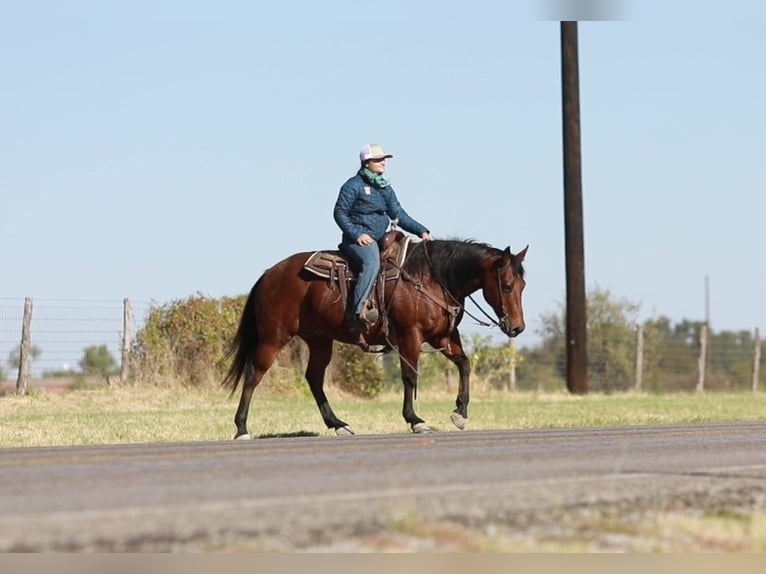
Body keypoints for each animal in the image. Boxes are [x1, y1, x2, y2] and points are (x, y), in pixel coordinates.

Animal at [222, 235, 528, 440]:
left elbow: (464, 365)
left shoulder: (444, 337)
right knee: (253, 374)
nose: (517, 328)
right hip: (273, 337)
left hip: (319, 340)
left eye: (523, 285)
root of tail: (268, 275)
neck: (431, 278)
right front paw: (415, 420)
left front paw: (460, 414)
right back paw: (241, 428)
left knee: (314, 378)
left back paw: (339, 424)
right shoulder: (410, 336)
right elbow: (410, 376)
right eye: (506, 284)